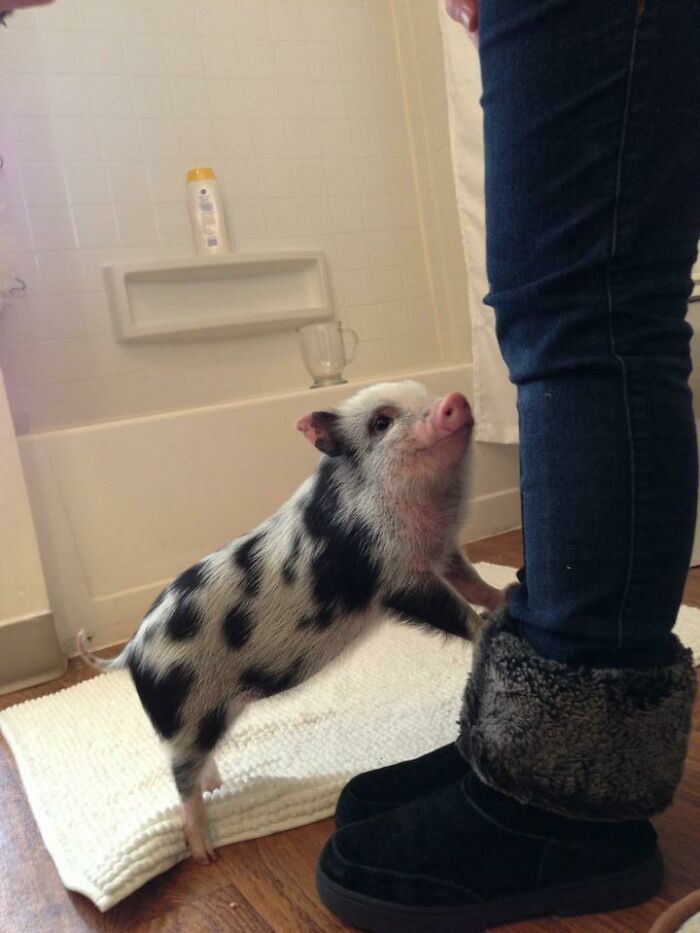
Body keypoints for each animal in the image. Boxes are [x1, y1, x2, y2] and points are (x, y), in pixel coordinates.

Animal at [77, 381, 505, 864]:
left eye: (427, 393)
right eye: (382, 422)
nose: (454, 399)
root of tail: (132, 651)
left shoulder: (442, 553)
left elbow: (470, 580)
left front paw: (505, 596)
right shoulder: (394, 577)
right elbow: (450, 608)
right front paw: (488, 627)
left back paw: (216, 785)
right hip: (185, 713)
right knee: (180, 776)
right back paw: (205, 851)